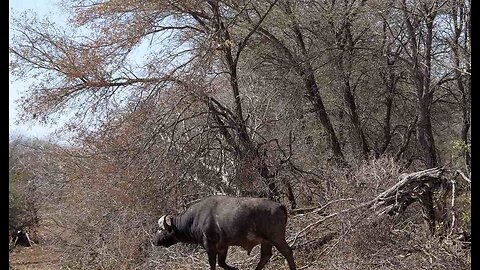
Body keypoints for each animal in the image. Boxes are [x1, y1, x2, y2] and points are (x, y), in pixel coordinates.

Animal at [154, 195, 296, 268]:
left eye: (161, 230)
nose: (154, 241)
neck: (194, 219)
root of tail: (279, 205)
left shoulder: (210, 246)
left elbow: (213, 264)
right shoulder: (223, 247)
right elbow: (221, 263)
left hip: (276, 237)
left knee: (287, 252)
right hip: (266, 241)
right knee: (265, 256)